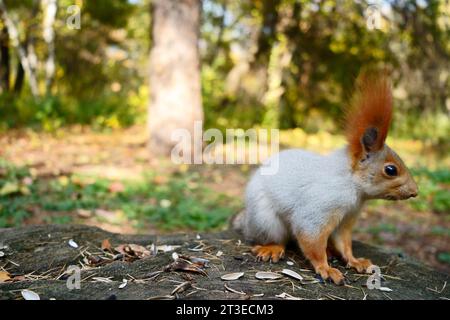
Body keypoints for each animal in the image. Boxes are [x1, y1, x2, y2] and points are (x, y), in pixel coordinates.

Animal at [232, 70, 418, 284]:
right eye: (391, 170)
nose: (415, 191)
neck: (352, 186)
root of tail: (247, 221)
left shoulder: (347, 218)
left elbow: (344, 243)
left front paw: (355, 261)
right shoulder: (319, 207)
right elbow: (311, 238)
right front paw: (325, 268)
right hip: (266, 221)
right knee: (277, 238)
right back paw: (272, 248)